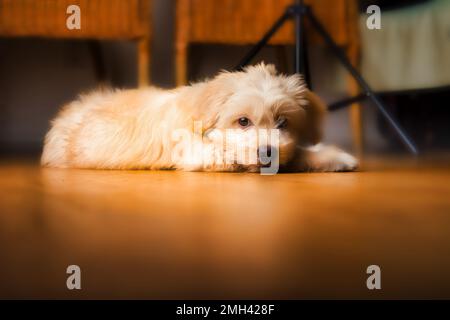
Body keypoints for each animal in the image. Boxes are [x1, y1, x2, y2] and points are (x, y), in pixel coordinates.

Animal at [42, 62, 358, 172]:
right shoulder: (193, 150)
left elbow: (296, 151)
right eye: (243, 121)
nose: (266, 151)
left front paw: (336, 158)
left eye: (283, 122)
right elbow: (224, 153)